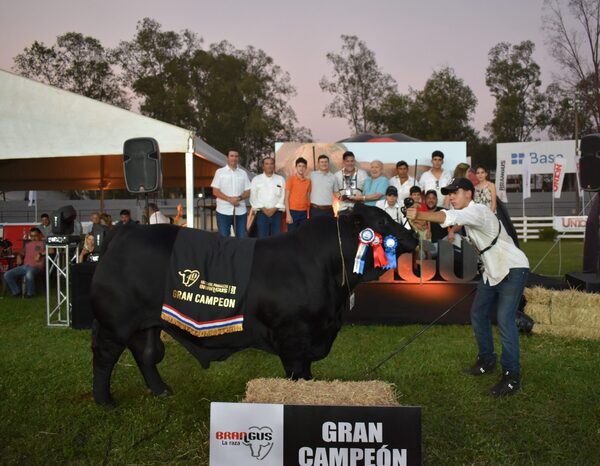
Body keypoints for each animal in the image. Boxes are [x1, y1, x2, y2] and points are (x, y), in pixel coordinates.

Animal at [90, 204, 418, 404]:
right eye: (382, 221)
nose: (413, 235)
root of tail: (126, 230)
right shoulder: (294, 337)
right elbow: (298, 375)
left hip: (146, 324)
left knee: (145, 355)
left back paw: (161, 391)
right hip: (113, 323)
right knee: (104, 359)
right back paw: (105, 401)